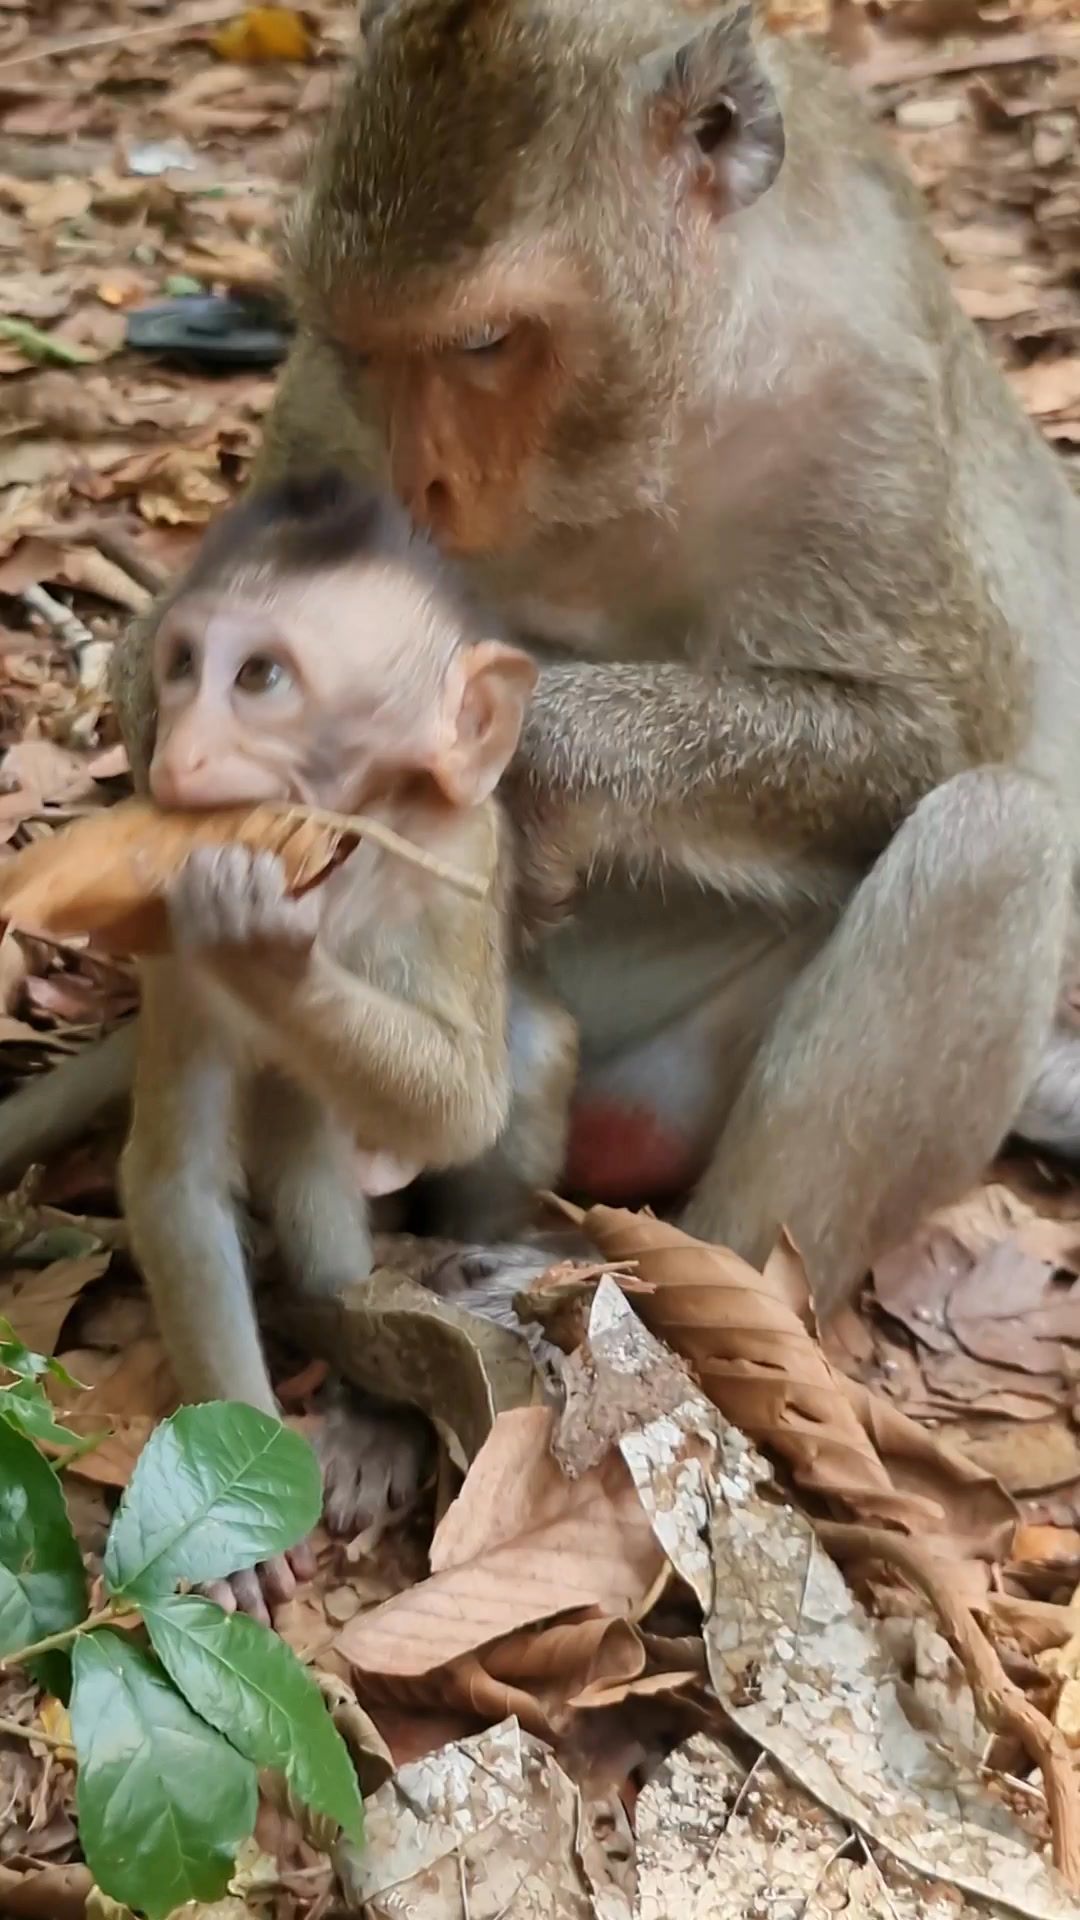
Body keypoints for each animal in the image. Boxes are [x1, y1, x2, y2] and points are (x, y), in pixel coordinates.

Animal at [4, 0, 1080, 1320]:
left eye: (484, 342)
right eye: (364, 348)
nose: (418, 483)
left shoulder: (862, 398)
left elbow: (929, 737)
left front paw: (538, 766)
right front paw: (161, 703)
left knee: (996, 835)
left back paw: (708, 1285)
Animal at [118, 470, 576, 1618]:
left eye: (261, 677)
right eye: (181, 667)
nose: (179, 757)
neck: (337, 862)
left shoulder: (462, 850)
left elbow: (465, 1102)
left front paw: (267, 950)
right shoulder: (166, 928)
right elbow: (176, 1181)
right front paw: (221, 1517)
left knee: (516, 1056)